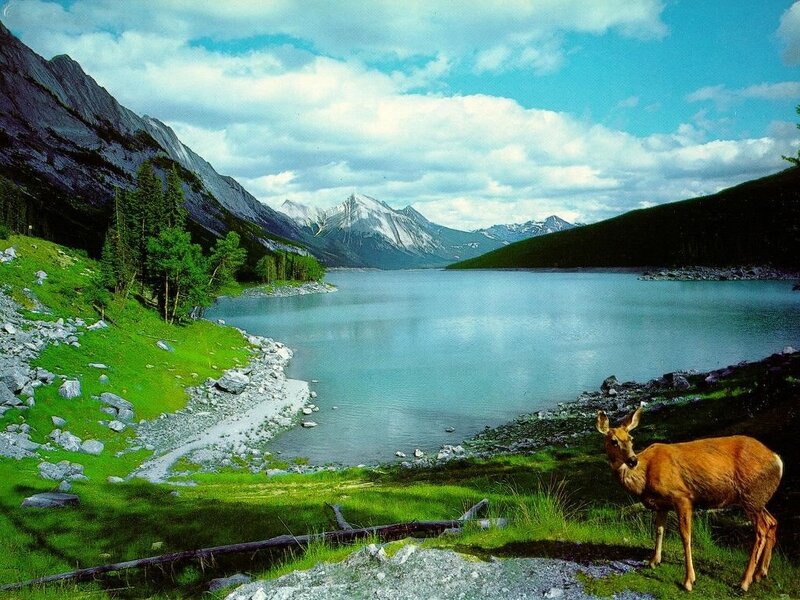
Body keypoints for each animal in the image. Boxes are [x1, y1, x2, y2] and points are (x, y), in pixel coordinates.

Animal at [596, 407, 783, 592]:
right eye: (613, 441)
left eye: (631, 439)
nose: (632, 460)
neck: (645, 476)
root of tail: (777, 460)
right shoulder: (662, 504)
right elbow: (659, 530)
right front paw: (653, 561)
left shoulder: (682, 496)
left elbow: (686, 536)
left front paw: (688, 581)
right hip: (757, 498)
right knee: (772, 522)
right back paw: (760, 574)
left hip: (751, 496)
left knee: (761, 530)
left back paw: (744, 582)